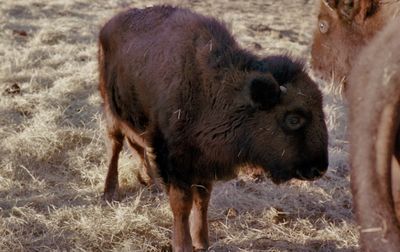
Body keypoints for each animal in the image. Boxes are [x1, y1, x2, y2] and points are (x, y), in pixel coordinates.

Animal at [99, 5, 328, 252]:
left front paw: (202, 241)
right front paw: (183, 245)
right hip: (111, 111)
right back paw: (109, 190)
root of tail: (108, 25)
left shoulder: (204, 161)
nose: (320, 168)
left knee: (137, 146)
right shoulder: (175, 160)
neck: (213, 89)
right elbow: (182, 204)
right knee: (115, 144)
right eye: (293, 119)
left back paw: (149, 181)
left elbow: (202, 199)